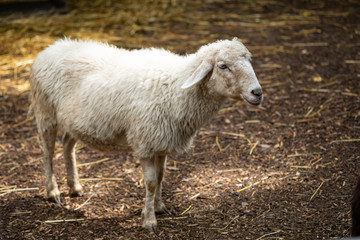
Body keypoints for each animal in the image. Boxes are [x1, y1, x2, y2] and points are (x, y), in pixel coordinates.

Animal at [28, 37, 262, 231]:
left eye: (249, 60)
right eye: (223, 66)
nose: (257, 93)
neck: (176, 88)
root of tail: (53, 46)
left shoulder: (163, 141)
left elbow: (161, 176)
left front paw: (158, 207)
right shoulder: (145, 143)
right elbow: (150, 182)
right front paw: (149, 221)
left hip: (75, 121)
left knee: (67, 144)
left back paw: (74, 187)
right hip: (45, 111)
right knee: (48, 152)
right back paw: (53, 192)